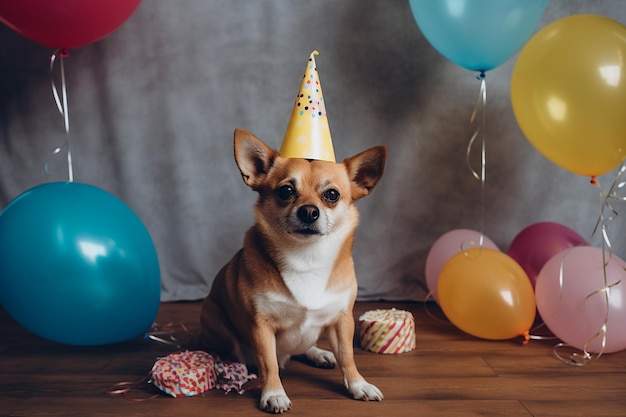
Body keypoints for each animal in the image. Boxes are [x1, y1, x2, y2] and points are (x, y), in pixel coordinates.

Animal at [200, 127, 386, 412]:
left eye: (332, 195)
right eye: (286, 191)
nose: (309, 211)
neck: (306, 258)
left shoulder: (342, 319)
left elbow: (348, 355)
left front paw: (358, 384)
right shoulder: (261, 326)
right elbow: (269, 363)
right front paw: (273, 393)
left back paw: (319, 353)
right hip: (214, 317)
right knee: (236, 350)